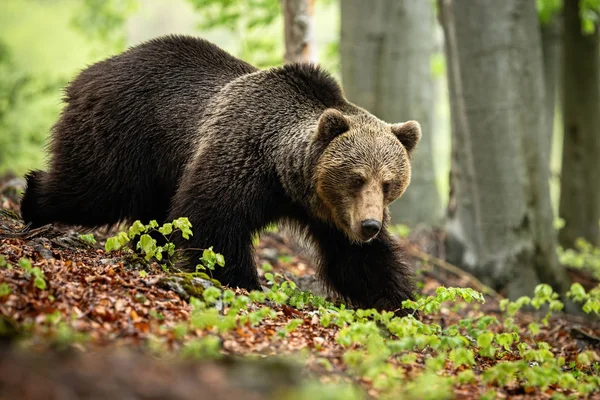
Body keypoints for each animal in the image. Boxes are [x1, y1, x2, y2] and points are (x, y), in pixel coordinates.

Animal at [21, 34, 420, 314]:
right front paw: (245, 281)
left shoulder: (328, 212)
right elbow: (213, 221)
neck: (284, 175)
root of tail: (90, 73)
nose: (370, 225)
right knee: (93, 189)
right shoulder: (240, 159)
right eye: (356, 177)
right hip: (124, 133)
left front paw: (401, 303)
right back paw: (32, 202)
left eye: (388, 183)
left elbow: (358, 261)